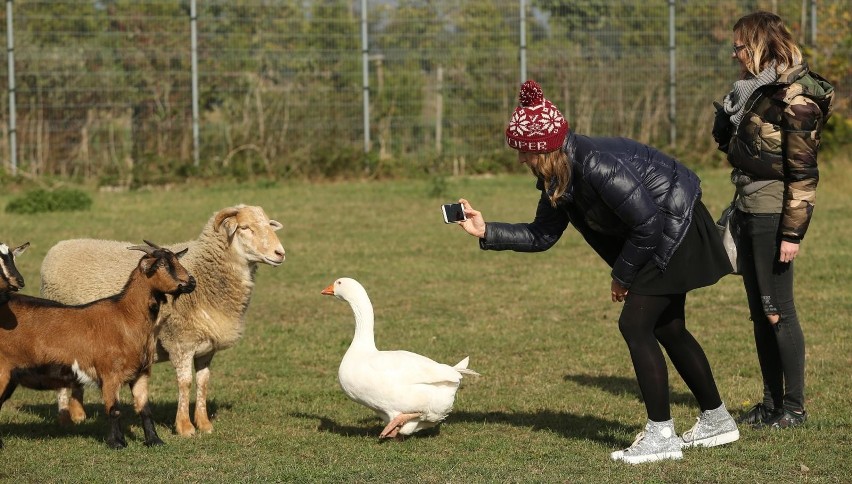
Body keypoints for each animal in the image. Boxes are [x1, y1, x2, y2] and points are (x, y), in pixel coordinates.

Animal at [0, 240, 195, 448]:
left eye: (176, 259)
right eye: (162, 264)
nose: (191, 282)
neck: (126, 317)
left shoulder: (141, 373)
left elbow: (145, 409)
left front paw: (154, 440)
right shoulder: (109, 374)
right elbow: (114, 410)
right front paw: (117, 443)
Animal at [40, 202, 286, 436]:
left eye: (268, 224)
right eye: (245, 228)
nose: (280, 253)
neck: (208, 278)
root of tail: (57, 248)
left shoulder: (206, 347)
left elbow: (203, 383)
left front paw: (204, 424)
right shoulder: (181, 341)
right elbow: (185, 383)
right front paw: (185, 426)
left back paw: (78, 414)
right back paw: (64, 419)